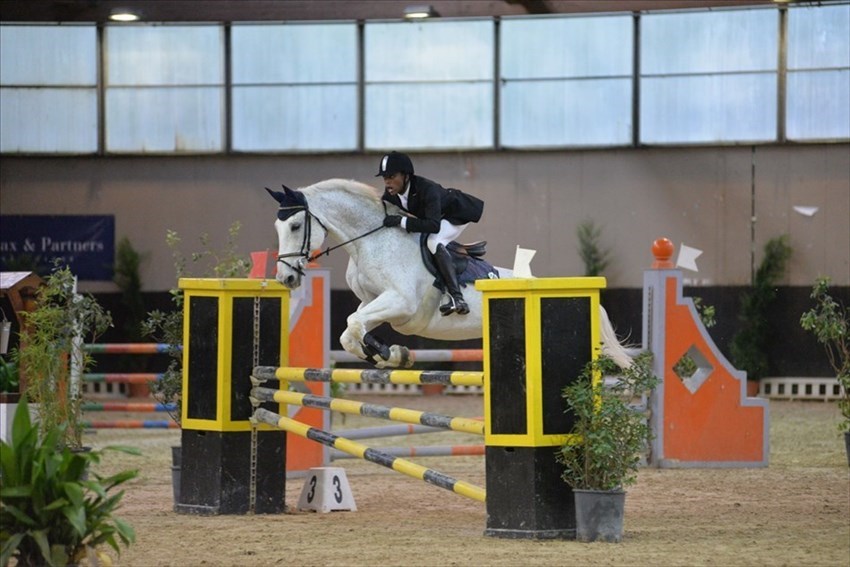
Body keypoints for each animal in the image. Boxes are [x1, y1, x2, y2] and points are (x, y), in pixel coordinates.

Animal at [264, 180, 628, 370]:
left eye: (295, 226)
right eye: (277, 228)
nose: (287, 280)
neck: (371, 240)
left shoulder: (401, 303)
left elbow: (354, 324)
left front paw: (390, 353)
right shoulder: (375, 302)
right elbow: (350, 330)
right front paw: (385, 353)